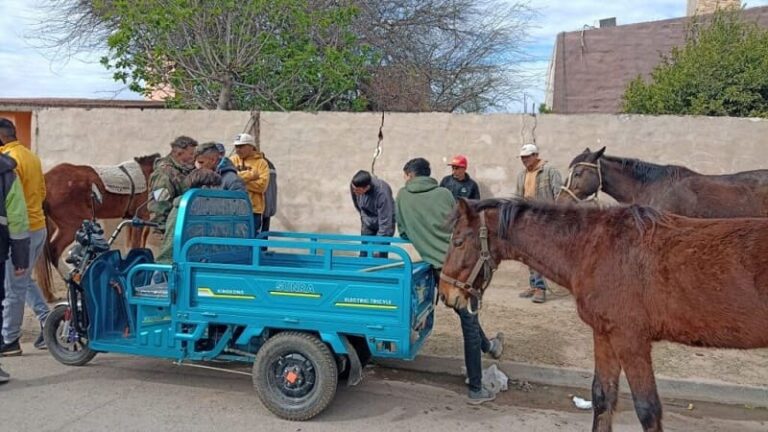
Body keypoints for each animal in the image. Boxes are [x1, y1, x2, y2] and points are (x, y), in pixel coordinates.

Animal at [36, 153, 160, 300]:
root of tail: (46, 179)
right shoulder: (140, 216)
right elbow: (137, 245)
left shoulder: (132, 219)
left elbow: (132, 245)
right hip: (71, 225)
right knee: (53, 249)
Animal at [438, 199, 768, 432]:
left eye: (457, 241)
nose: (445, 293)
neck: (593, 248)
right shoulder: (605, 334)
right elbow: (602, 397)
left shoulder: (631, 340)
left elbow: (648, 410)